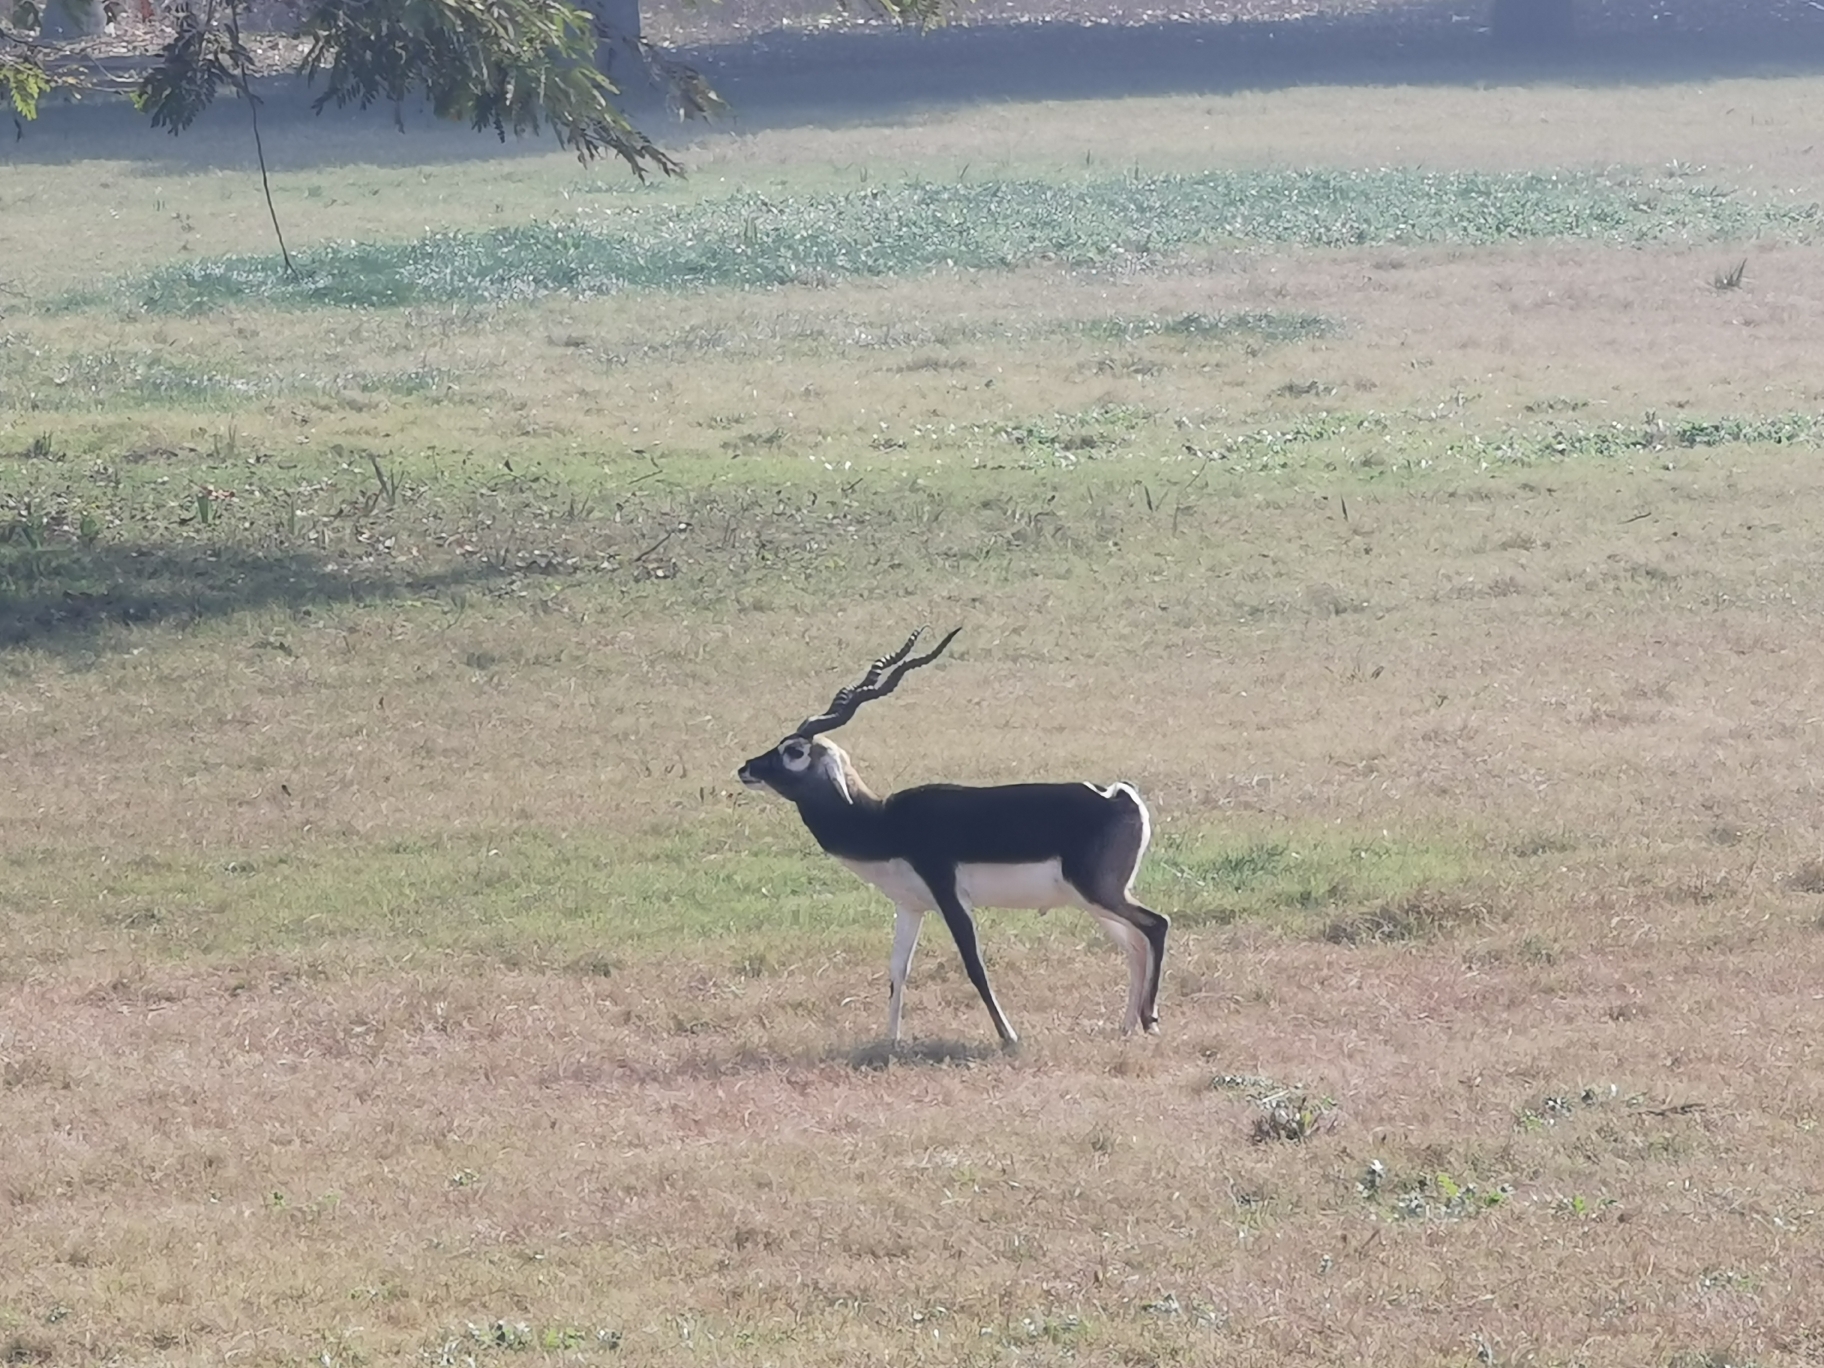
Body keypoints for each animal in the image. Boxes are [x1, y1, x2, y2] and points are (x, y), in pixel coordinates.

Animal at [736, 631, 1167, 1050]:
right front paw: (890, 1042)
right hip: (1092, 899)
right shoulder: (910, 906)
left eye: (794, 750)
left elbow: (974, 964)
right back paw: (1128, 1026)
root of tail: (1118, 794)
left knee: (1155, 925)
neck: (884, 823)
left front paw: (1009, 1036)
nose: (746, 768)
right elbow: (897, 970)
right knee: (1134, 944)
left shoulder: (949, 895)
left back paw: (1150, 1020)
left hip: (1098, 892)